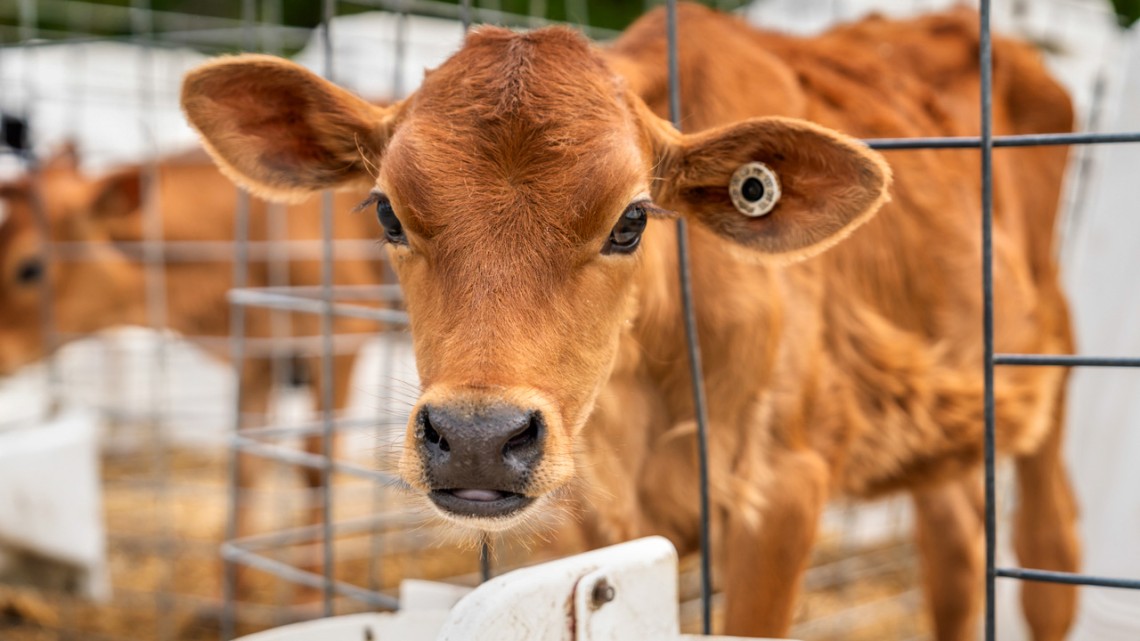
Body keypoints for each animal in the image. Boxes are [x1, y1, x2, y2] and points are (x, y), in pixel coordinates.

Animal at [0, 145, 385, 600]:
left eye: (29, 268)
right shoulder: (256, 354)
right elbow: (244, 464)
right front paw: (229, 589)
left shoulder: (342, 333)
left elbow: (315, 461)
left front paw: (309, 591)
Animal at [179, 4, 1079, 639]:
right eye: (387, 212)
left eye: (632, 220)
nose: (476, 437)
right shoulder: (578, 521)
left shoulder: (781, 490)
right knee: (956, 553)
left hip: (1048, 358)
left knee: (1049, 554)